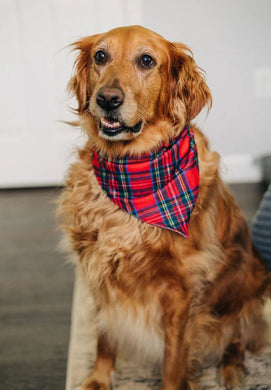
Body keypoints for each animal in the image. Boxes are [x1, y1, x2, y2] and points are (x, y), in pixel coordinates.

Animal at [59, 25, 270, 388]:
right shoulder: (100, 269)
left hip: (245, 288)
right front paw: (99, 378)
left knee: (238, 337)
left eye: (146, 60)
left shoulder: (180, 290)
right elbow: (105, 335)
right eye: (100, 56)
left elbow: (173, 360)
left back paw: (232, 370)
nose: (107, 99)